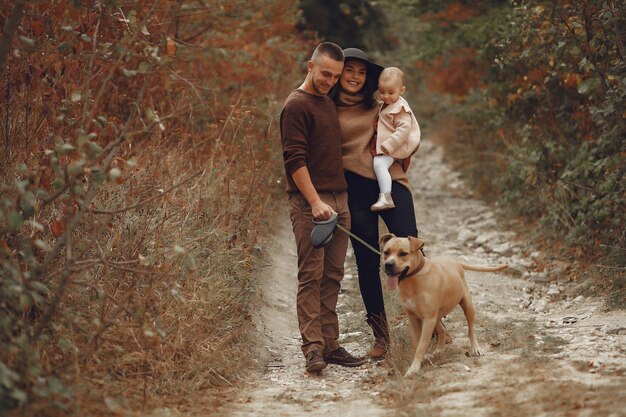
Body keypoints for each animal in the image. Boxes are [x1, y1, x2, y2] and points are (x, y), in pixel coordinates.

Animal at [376, 232, 508, 376]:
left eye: (403, 253)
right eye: (386, 252)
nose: (388, 265)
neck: (413, 280)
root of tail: (456, 262)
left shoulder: (428, 319)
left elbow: (421, 345)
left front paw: (414, 368)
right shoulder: (414, 318)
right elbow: (417, 344)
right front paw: (419, 362)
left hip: (466, 305)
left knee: (471, 329)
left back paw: (475, 348)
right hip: (437, 315)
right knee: (443, 329)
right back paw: (439, 350)